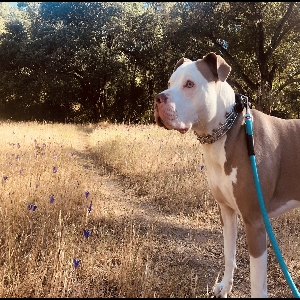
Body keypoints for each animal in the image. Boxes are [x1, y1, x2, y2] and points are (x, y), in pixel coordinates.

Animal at [155, 52, 300, 298]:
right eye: (169, 83)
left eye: (189, 84)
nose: (158, 98)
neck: (226, 131)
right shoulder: (227, 211)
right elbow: (229, 254)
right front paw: (225, 287)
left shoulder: (255, 222)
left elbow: (257, 282)